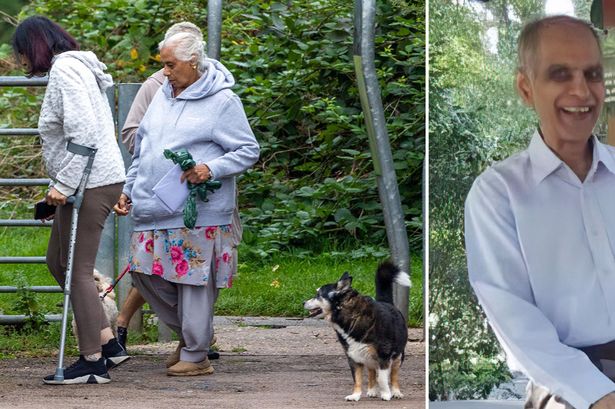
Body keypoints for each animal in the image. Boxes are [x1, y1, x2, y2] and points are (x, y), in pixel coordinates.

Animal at [304, 262, 412, 398]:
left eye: (318, 295)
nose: (303, 302)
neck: (351, 316)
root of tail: (386, 302)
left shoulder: (384, 355)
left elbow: (382, 378)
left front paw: (386, 394)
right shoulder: (353, 357)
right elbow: (357, 379)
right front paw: (355, 395)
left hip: (398, 356)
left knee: (393, 376)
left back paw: (396, 392)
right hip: (368, 356)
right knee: (371, 371)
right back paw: (372, 390)